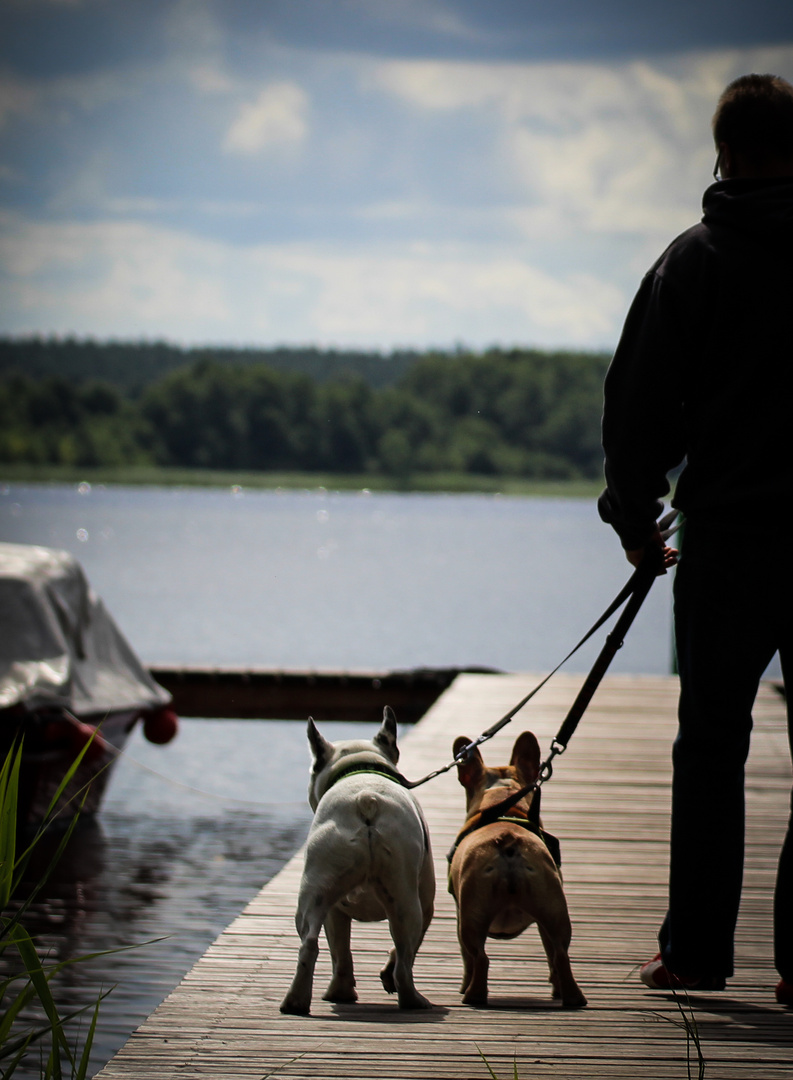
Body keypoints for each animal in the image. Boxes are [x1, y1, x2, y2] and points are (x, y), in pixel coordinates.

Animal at [278, 704, 438, 1015]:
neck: (362, 768)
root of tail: (366, 799)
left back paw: (300, 1000)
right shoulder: (427, 904)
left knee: (310, 943)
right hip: (406, 900)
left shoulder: (335, 911)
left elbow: (341, 950)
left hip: (318, 890)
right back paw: (410, 999)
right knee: (404, 959)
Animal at [449, 730, 587, 1006]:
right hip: (554, 911)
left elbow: (466, 958)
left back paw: (472, 995)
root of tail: (508, 842)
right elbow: (551, 956)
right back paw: (572, 996)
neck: (502, 800)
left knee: (479, 958)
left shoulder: (459, 912)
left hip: (470, 918)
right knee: (560, 955)